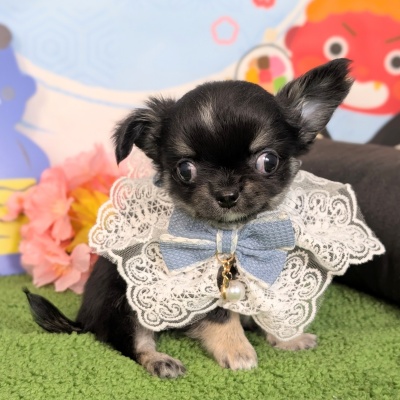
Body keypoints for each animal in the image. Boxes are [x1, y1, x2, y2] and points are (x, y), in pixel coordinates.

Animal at [25, 58, 353, 378]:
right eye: (185, 170)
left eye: (268, 161)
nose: (227, 193)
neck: (233, 235)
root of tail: (83, 319)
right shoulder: (201, 286)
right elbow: (221, 317)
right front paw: (238, 350)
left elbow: (270, 310)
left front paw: (288, 339)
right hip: (125, 306)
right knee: (132, 343)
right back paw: (160, 361)